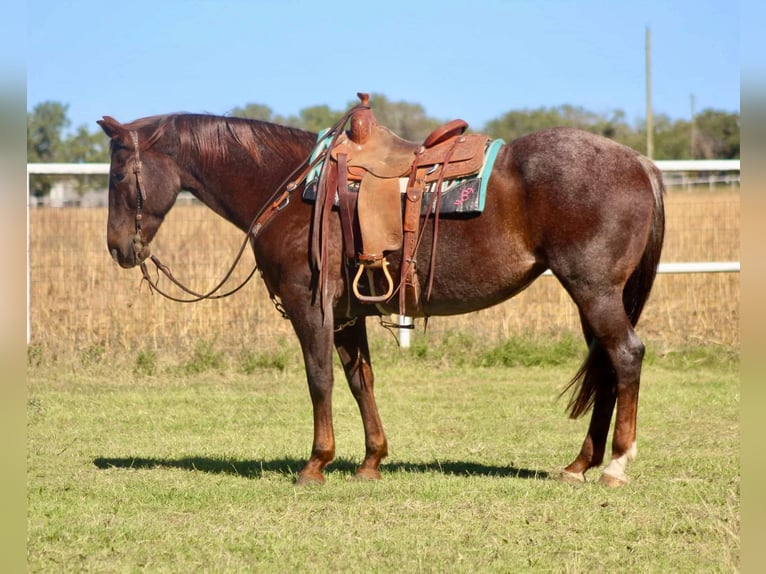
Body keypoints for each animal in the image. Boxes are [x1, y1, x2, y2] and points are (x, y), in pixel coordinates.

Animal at [98, 106, 664, 488]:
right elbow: (359, 380)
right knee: (606, 366)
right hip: (592, 296)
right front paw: (371, 461)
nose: (119, 248)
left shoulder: (310, 307)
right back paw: (579, 464)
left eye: (121, 174)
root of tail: (639, 162)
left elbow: (320, 379)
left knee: (625, 356)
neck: (291, 187)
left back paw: (616, 464)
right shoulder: (350, 314)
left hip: (593, 290)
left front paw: (316, 463)